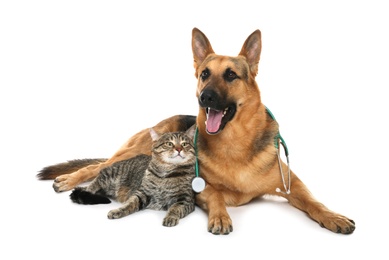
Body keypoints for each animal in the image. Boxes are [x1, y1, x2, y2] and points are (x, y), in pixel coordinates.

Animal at [68, 125, 196, 226]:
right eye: (169, 144)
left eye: (185, 144)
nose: (179, 149)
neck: (165, 175)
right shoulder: (141, 193)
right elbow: (129, 204)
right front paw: (117, 211)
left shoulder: (186, 200)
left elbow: (175, 209)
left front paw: (170, 217)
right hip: (109, 175)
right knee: (93, 184)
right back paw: (88, 192)